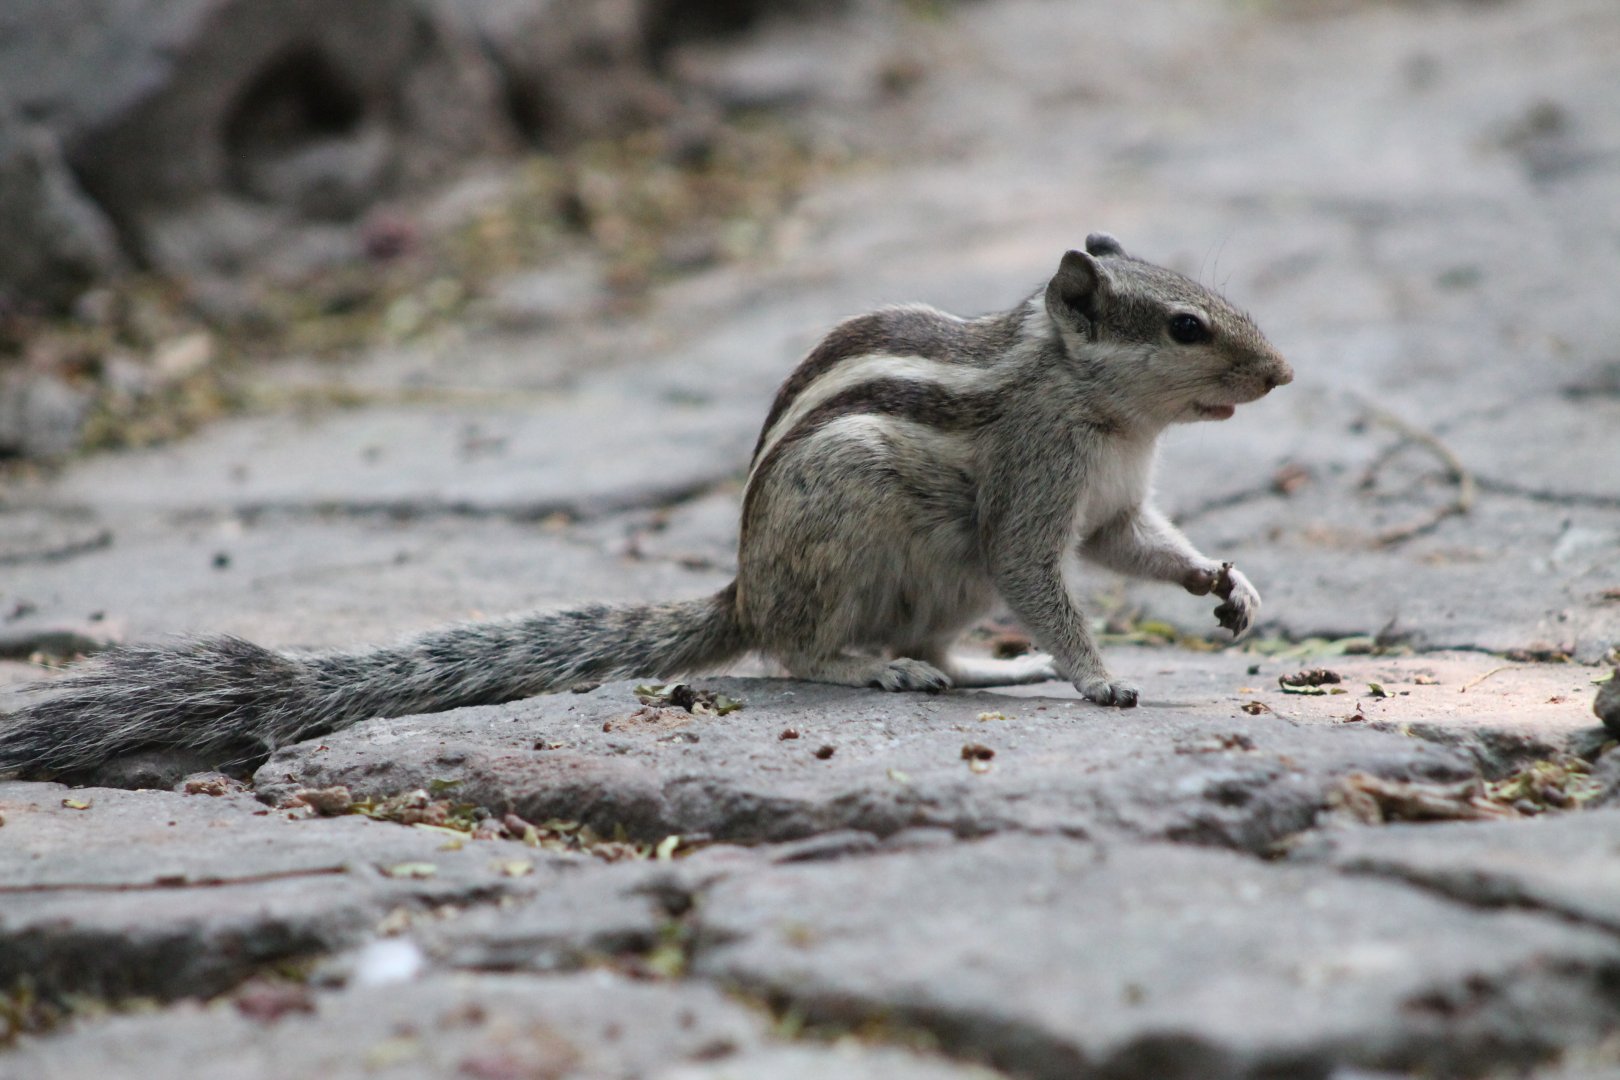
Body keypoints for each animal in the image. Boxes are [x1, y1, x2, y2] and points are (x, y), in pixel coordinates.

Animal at [0, 233, 1292, 777]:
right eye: (1187, 326)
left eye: (1216, 302)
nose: (1282, 375)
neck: (1105, 411)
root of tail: (743, 586)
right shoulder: (1029, 496)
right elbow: (1049, 580)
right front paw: (1098, 677)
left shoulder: (1112, 506)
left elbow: (1138, 548)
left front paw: (1227, 587)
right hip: (850, 514)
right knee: (798, 650)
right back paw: (878, 669)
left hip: (937, 581)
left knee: (927, 642)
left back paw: (978, 670)